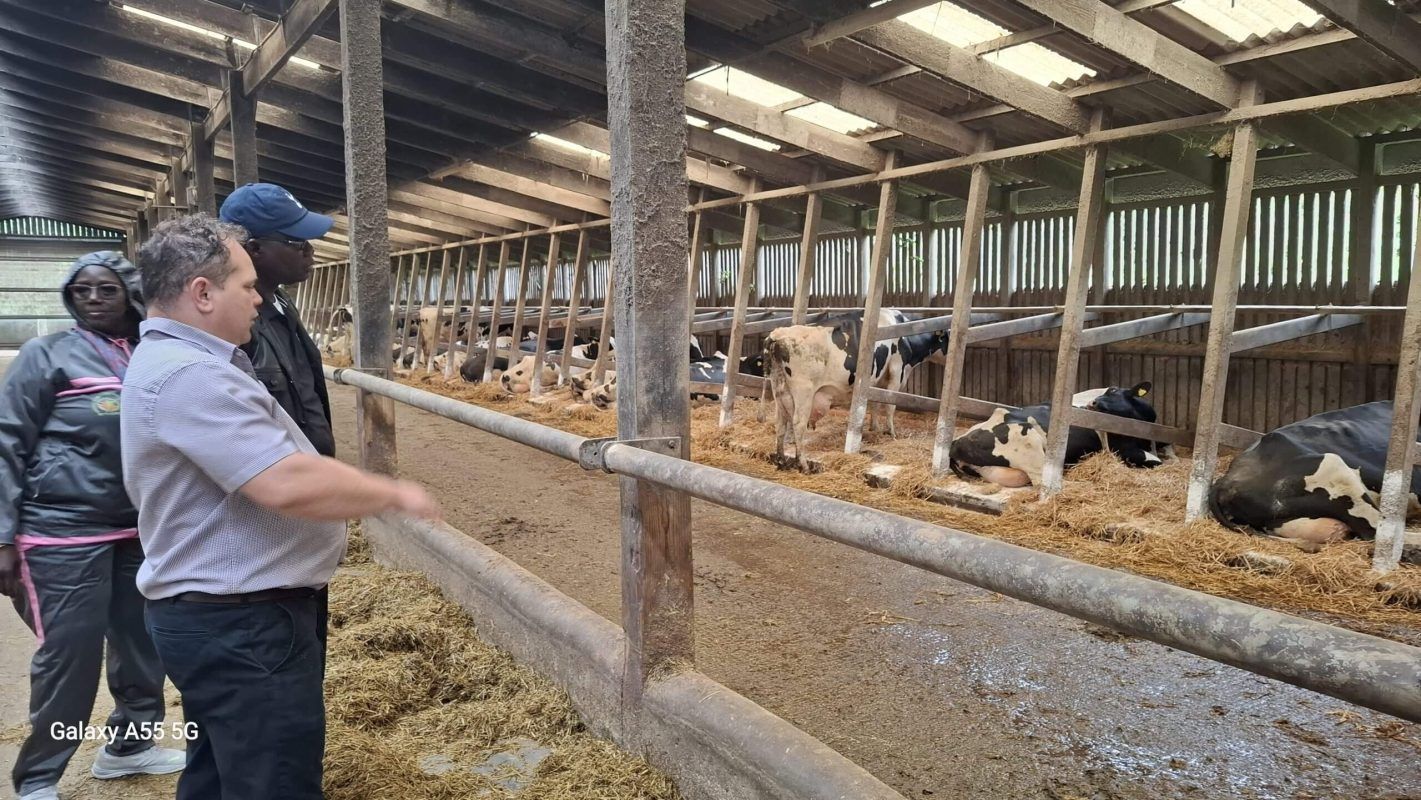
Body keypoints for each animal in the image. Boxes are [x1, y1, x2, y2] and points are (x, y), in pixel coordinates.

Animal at [947, 382, 1167, 488]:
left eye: (1113, 391)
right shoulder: (1123, 450)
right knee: (1040, 480)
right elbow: (1156, 462)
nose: (1092, 404)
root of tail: (956, 443)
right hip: (1030, 442)